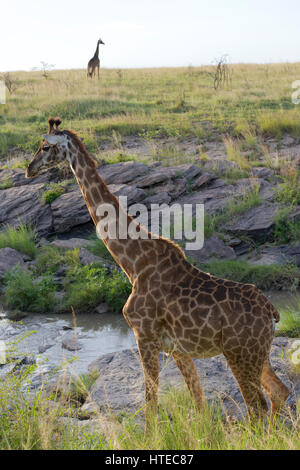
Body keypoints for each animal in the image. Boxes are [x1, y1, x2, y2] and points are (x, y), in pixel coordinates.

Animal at [25, 117, 288, 430]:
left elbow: (150, 406)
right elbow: (199, 405)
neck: (134, 263)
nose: (28, 169)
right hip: (259, 354)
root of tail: (271, 310)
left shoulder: (145, 337)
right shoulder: (178, 349)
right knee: (279, 392)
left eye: (44, 147)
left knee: (256, 406)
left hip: (240, 353)